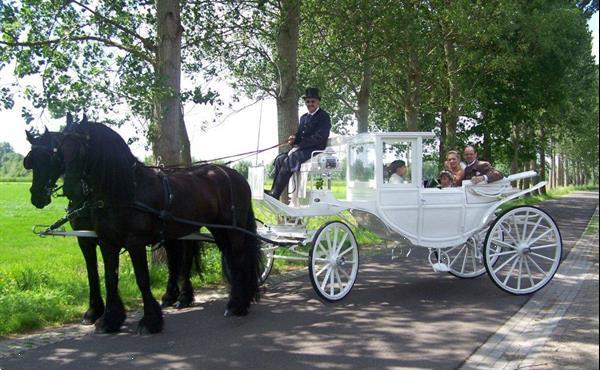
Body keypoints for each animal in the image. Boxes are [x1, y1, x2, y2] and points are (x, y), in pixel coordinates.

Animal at [23, 120, 199, 326]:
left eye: (51, 158)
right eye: (32, 160)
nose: (36, 196)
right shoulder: (86, 239)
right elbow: (94, 273)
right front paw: (95, 311)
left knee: (185, 258)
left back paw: (184, 297)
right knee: (173, 257)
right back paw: (170, 296)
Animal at [56, 115, 260, 332]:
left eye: (82, 148)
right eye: (61, 149)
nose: (71, 189)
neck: (127, 190)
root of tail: (236, 175)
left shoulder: (135, 242)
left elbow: (142, 279)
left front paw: (150, 321)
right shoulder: (106, 242)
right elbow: (110, 278)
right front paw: (109, 320)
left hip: (234, 230)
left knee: (238, 261)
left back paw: (236, 306)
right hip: (219, 230)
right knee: (230, 260)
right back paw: (237, 302)